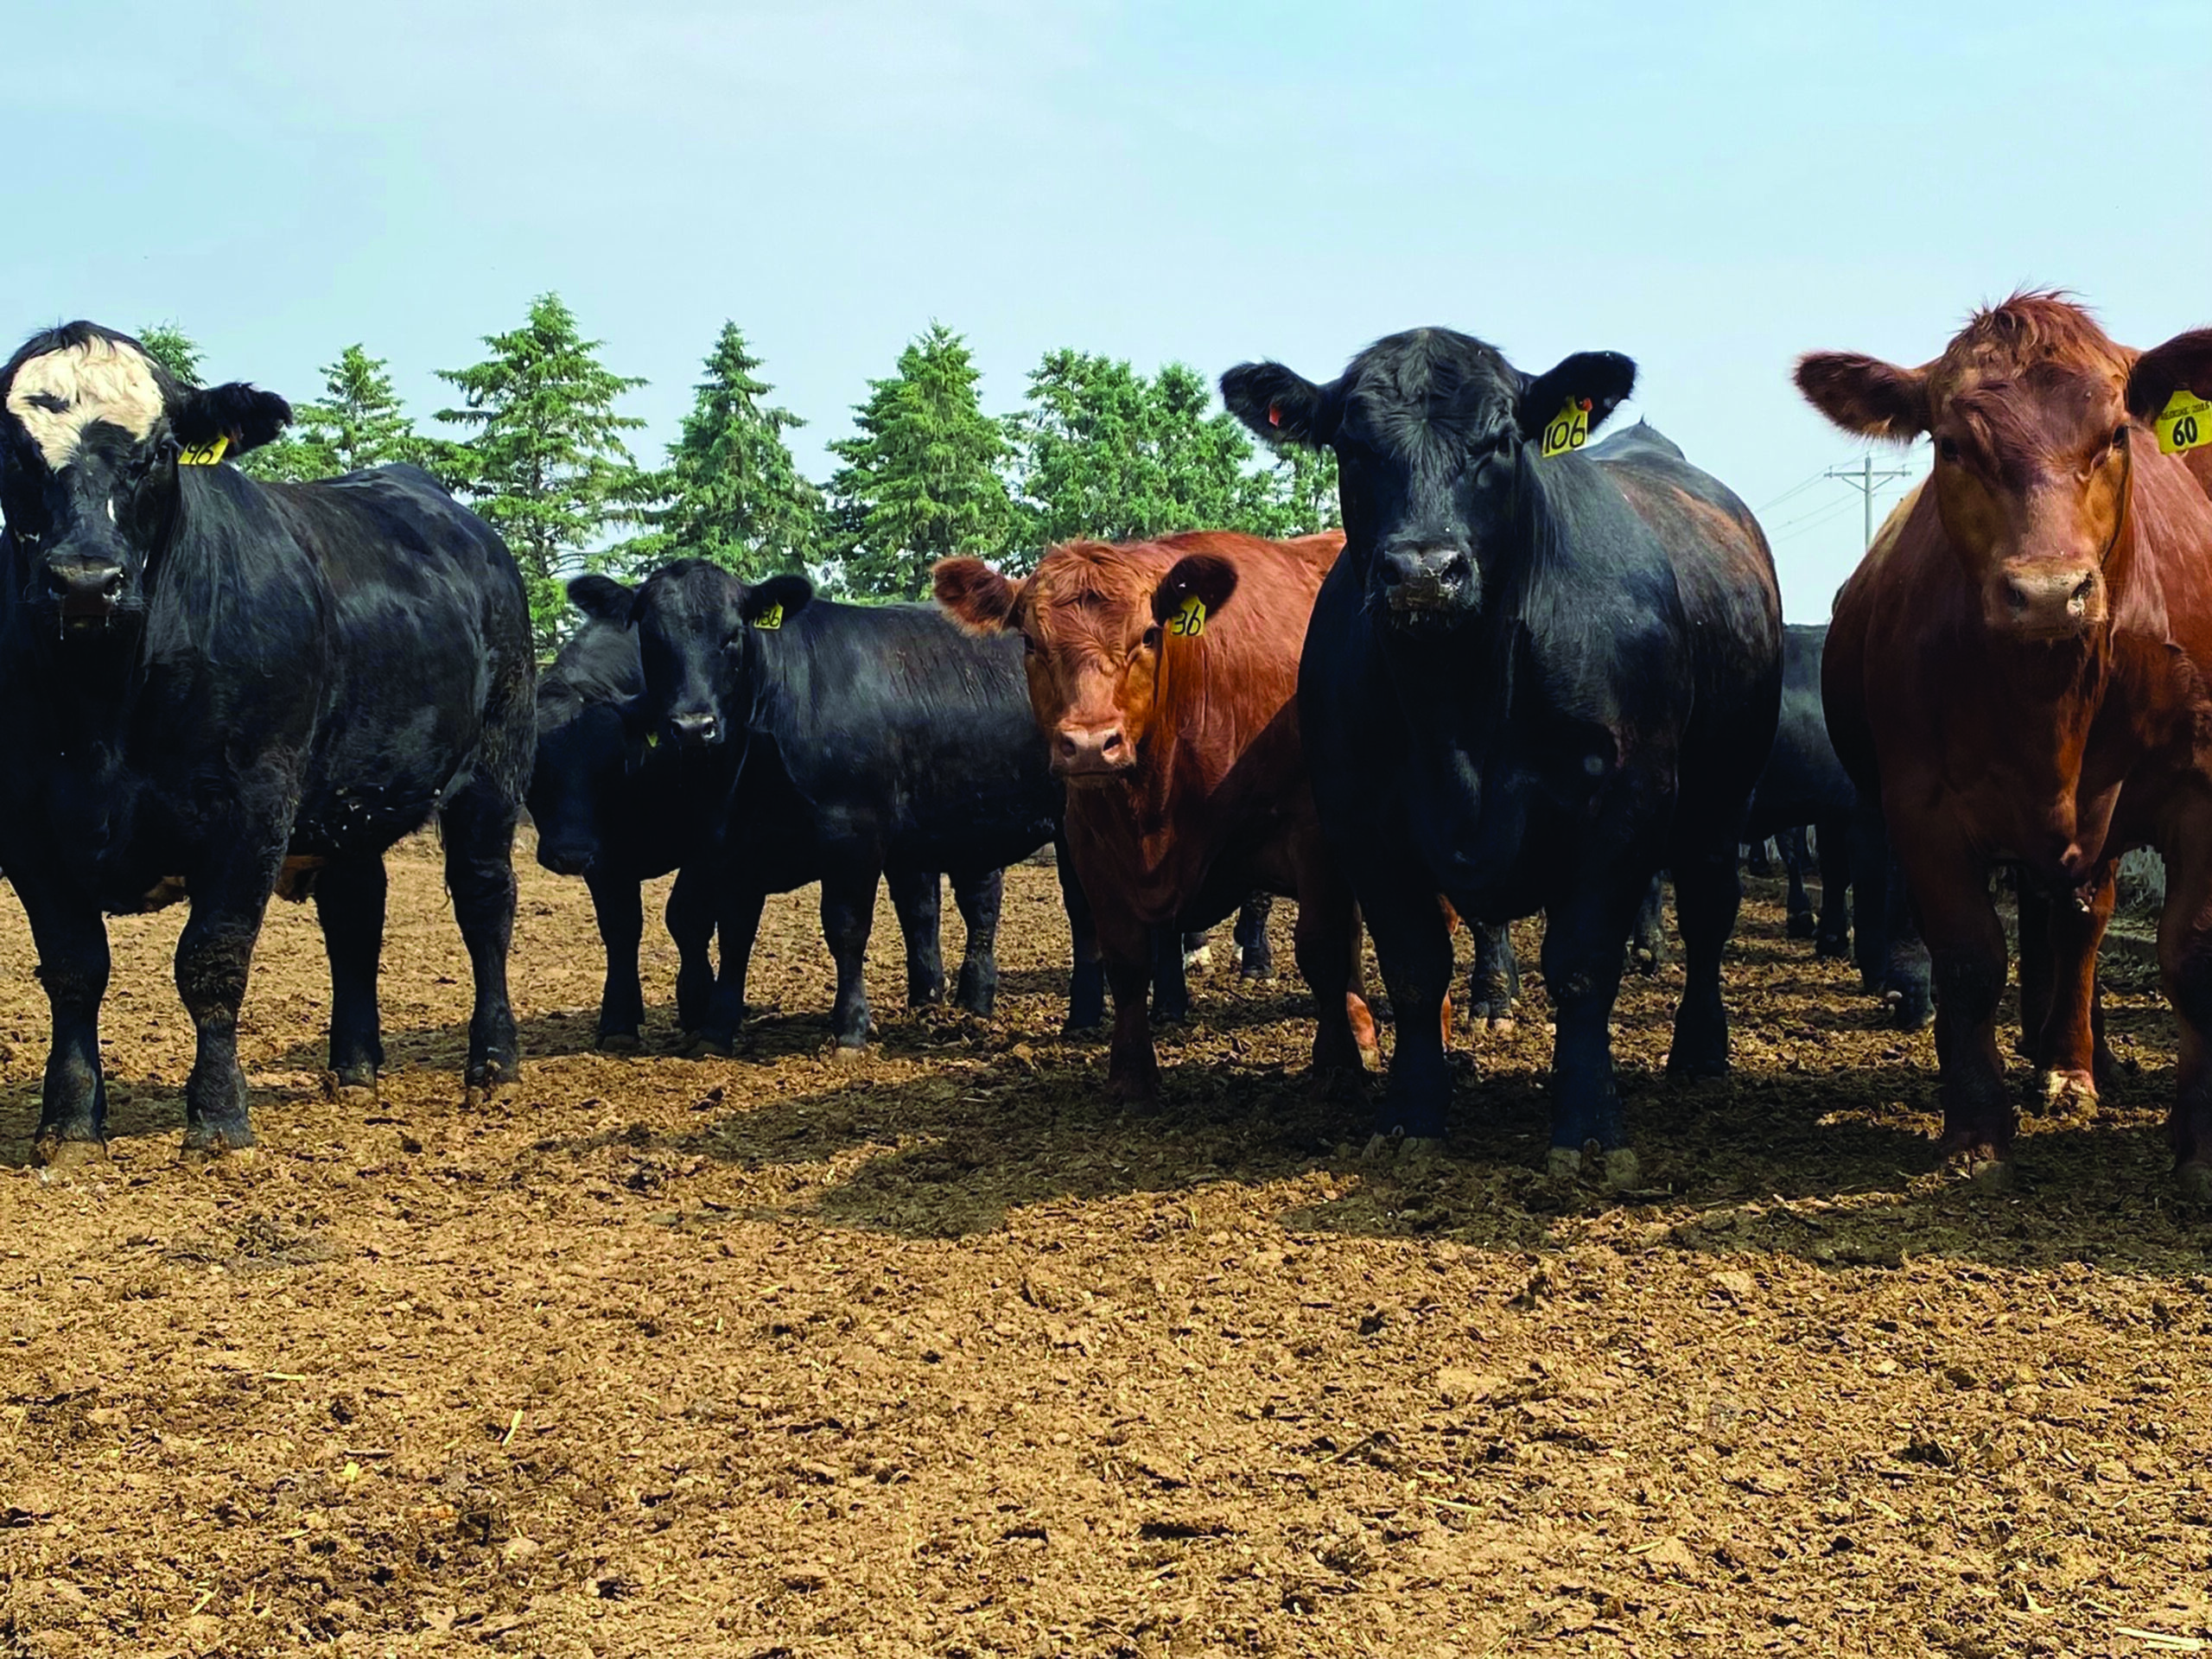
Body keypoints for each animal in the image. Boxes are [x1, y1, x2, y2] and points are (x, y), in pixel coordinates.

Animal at [0, 323, 532, 1162]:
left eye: (158, 452)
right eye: (13, 449)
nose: (85, 580)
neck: (103, 699)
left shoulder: (251, 805)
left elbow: (211, 962)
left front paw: (219, 1120)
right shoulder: (25, 821)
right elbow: (74, 968)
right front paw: (71, 1125)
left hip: (493, 769)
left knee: (485, 903)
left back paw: (493, 1067)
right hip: (349, 800)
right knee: (356, 916)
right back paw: (353, 1071)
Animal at [570, 561, 1079, 1052]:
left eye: (733, 634)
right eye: (652, 637)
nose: (694, 726)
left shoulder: (853, 835)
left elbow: (845, 928)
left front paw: (850, 1028)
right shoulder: (732, 846)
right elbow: (735, 935)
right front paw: (717, 1029)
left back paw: (1078, 1020)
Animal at [934, 530, 1379, 1102]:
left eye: (1148, 635)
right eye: (1030, 642)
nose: (1089, 744)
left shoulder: (1312, 831)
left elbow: (1321, 947)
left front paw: (1337, 1064)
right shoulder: (1091, 845)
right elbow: (1124, 962)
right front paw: (1130, 1074)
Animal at [1222, 328, 1783, 1181]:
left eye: (1500, 441)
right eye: (1353, 445)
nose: (1424, 570)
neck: (1459, 709)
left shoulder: (1626, 805)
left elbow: (1583, 965)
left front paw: (1589, 1130)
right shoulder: (1360, 816)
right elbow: (1414, 967)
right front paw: (1410, 1118)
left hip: (1723, 799)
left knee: (1709, 913)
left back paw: (1700, 1051)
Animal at [1801, 292, 2212, 1189]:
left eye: (2117, 435)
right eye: (1953, 444)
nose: (2051, 592)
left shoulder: (2202, 787)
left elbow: (2191, 951)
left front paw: (2199, 1140)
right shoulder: (1921, 809)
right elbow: (1968, 957)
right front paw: (1976, 1127)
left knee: (2081, 921)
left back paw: (2074, 1063)